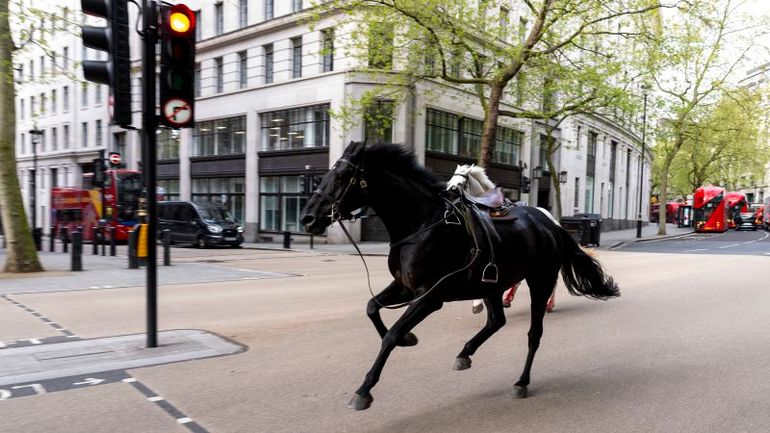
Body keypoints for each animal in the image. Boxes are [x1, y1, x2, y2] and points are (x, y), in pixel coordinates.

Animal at [301, 141, 620, 411]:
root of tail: (551, 223)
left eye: (342, 175)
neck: (422, 224)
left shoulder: (430, 297)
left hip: (539, 281)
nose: (307, 218)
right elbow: (371, 308)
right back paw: (465, 353)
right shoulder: (405, 286)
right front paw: (409, 338)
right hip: (493, 283)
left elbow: (390, 335)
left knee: (534, 334)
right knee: (496, 321)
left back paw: (521, 382)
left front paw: (364, 389)